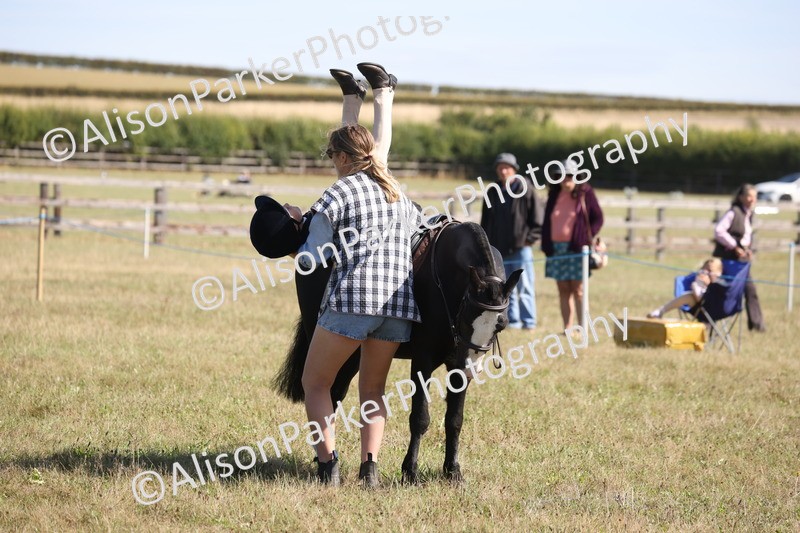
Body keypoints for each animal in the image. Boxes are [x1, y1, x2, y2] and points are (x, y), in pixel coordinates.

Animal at [273, 220, 522, 483]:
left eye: (501, 324)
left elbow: (454, 420)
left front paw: (453, 470)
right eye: (466, 317)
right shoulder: (423, 360)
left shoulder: (457, 367)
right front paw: (410, 471)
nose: (470, 367)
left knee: (334, 393)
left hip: (353, 354)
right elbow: (420, 418)